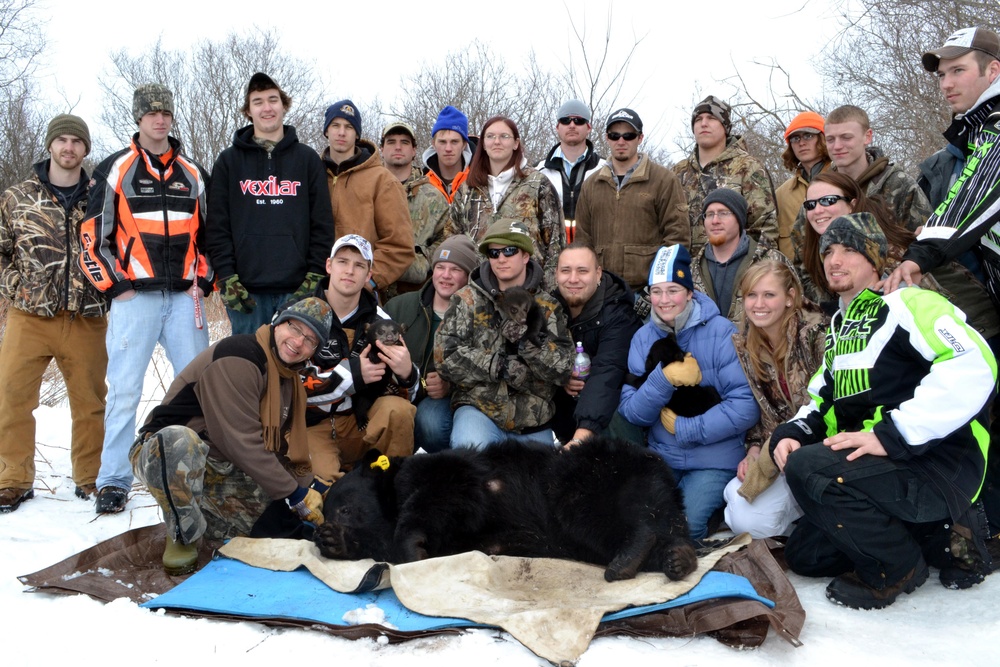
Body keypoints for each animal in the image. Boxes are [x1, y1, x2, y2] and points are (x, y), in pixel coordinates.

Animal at [316, 436, 700, 580]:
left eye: (346, 508)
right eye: (327, 511)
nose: (329, 523)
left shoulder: (450, 473)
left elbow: (443, 495)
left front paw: (412, 549)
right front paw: (334, 540)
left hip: (590, 477)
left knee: (618, 517)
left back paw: (627, 559)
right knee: (664, 522)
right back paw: (677, 558)